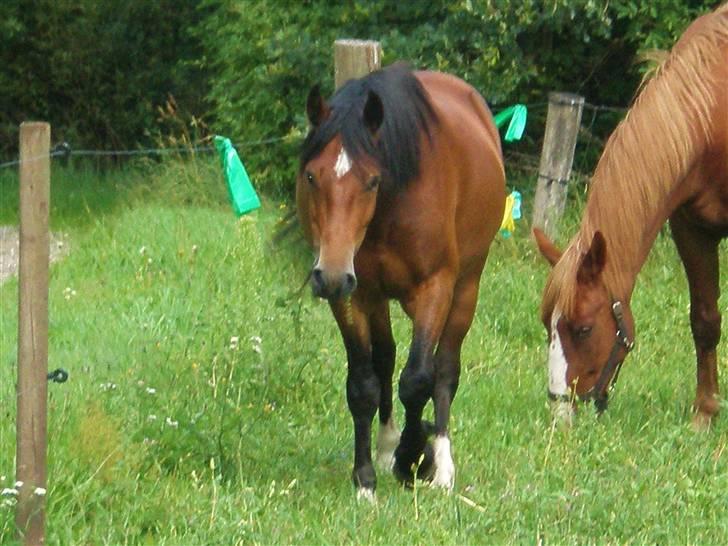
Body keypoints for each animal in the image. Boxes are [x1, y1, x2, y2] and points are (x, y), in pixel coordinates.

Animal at [296, 63, 506, 498]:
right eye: (310, 176)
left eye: (372, 180)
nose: (331, 275)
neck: (389, 209)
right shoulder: (352, 297)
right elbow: (364, 384)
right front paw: (365, 480)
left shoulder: (434, 288)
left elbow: (418, 379)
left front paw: (414, 459)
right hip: (374, 297)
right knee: (386, 359)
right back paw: (387, 444)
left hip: (465, 290)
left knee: (444, 369)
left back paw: (441, 462)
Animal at [536, 4, 728, 428]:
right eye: (547, 325)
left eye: (584, 329)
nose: (560, 413)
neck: (712, 113)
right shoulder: (692, 228)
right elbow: (705, 320)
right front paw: (705, 412)